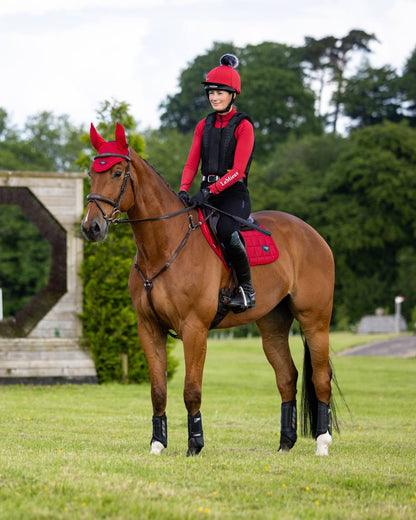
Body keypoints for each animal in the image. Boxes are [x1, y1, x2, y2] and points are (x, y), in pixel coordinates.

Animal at [81, 124, 338, 458]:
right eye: (91, 173)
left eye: (116, 172)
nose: (91, 227)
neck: (164, 247)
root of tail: (311, 233)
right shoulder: (149, 328)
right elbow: (157, 390)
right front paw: (157, 444)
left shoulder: (194, 329)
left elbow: (192, 390)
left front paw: (195, 444)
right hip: (272, 326)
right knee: (287, 377)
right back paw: (285, 443)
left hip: (314, 322)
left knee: (320, 378)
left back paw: (322, 443)